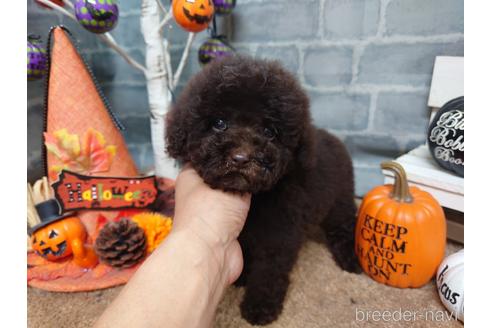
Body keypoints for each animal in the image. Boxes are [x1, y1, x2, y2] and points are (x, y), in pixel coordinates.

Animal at [165, 55, 362, 324]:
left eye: (270, 132)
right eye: (219, 123)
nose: (240, 158)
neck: (256, 200)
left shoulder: (279, 235)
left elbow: (268, 272)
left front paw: (260, 307)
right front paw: (241, 275)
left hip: (339, 199)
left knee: (344, 225)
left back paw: (350, 259)